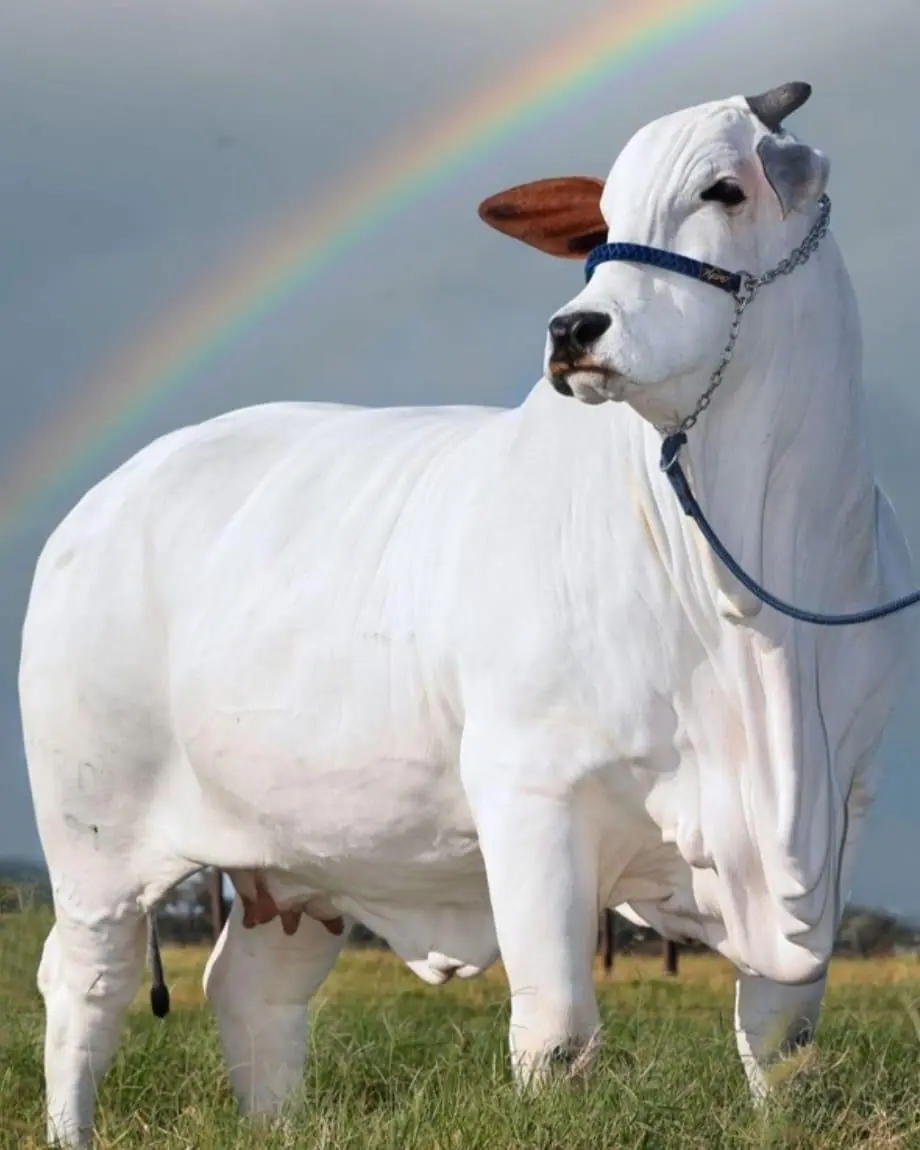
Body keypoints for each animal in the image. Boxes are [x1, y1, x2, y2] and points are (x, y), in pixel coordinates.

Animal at [20, 82, 916, 1146]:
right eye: (601, 218)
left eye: (724, 189)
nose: (575, 330)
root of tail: (104, 496)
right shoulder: (532, 793)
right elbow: (558, 1032)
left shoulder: (838, 812)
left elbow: (781, 1035)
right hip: (93, 837)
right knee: (86, 986)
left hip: (299, 860)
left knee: (252, 991)